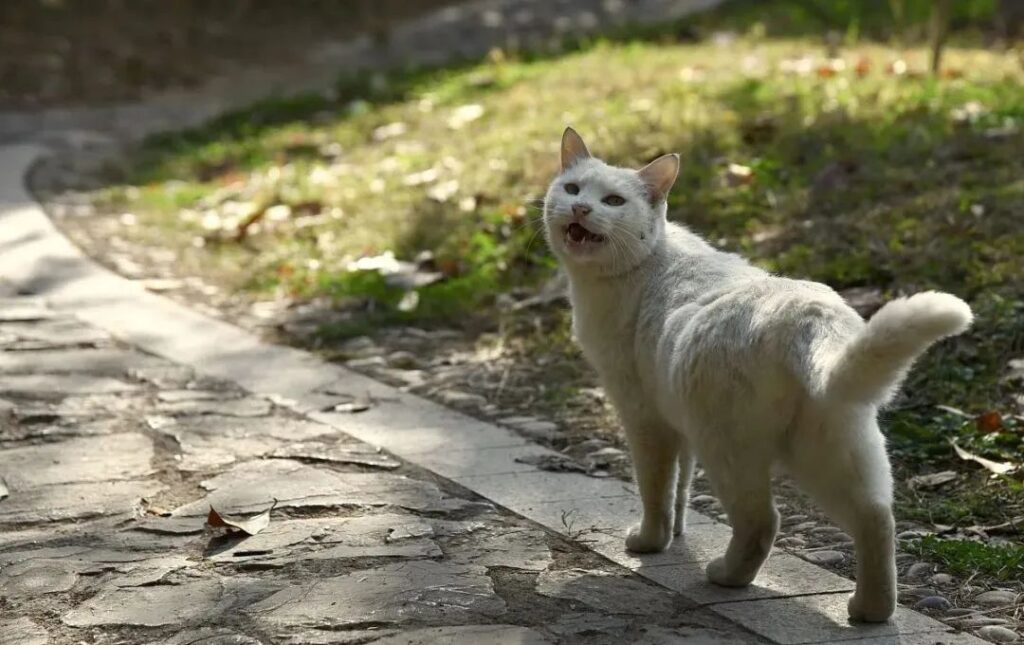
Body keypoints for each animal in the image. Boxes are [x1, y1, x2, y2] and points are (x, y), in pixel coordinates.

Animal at [540, 129, 970, 622]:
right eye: (573, 189)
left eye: (613, 200)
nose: (580, 209)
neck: (640, 267)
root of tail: (805, 314)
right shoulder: (676, 423)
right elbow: (680, 487)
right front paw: (678, 534)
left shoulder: (645, 417)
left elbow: (655, 489)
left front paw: (651, 542)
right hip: (832, 450)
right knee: (876, 518)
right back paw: (870, 609)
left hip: (729, 448)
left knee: (762, 520)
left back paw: (726, 576)